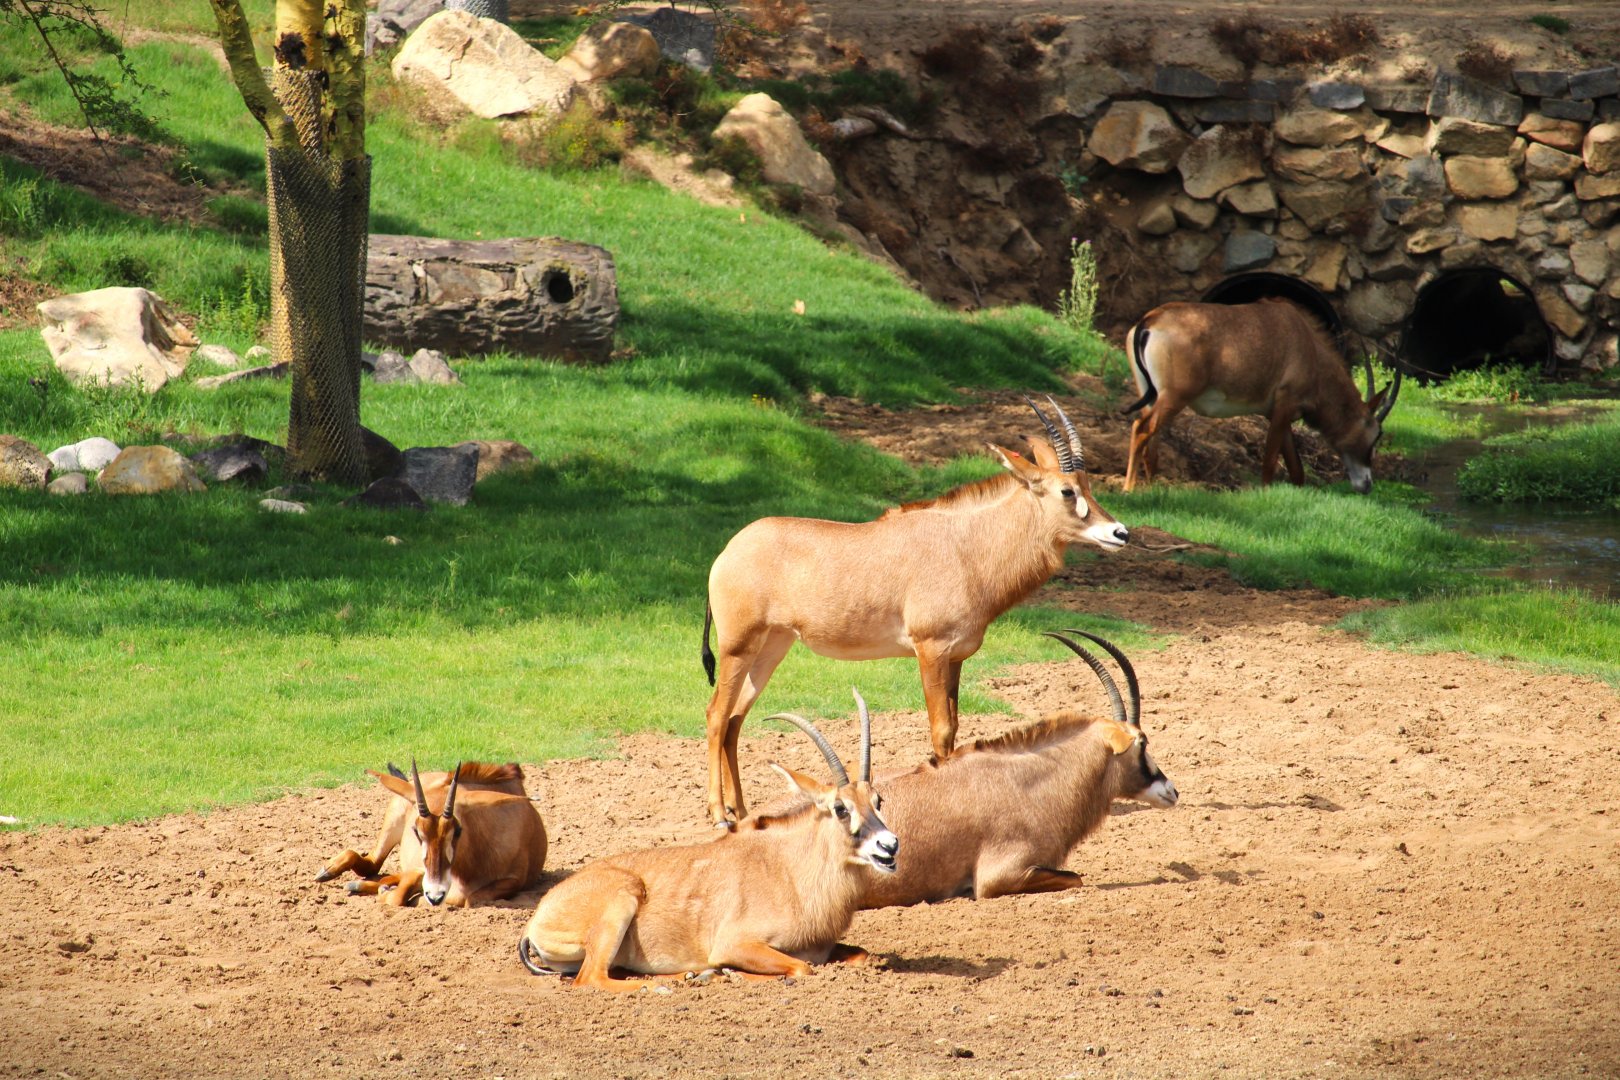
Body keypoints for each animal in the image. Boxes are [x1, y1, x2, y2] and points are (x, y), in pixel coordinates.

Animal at [316, 760, 548, 907]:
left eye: (457, 830)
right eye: (416, 831)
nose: (435, 894)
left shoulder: (514, 881)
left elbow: (465, 899)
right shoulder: (423, 870)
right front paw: (391, 893)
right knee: (373, 864)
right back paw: (331, 871)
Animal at [517, 702, 897, 991]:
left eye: (877, 800)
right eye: (840, 808)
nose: (890, 845)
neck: (790, 871)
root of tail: (538, 916)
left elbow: (860, 955)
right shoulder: (736, 943)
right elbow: (801, 967)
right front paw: (726, 971)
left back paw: (687, 974)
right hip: (621, 902)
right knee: (591, 978)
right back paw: (662, 985)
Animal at [699, 397, 1130, 825]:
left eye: (1088, 487)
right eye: (1067, 491)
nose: (1120, 533)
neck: (967, 546)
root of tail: (727, 551)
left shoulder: (956, 657)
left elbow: (954, 728)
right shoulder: (931, 649)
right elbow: (940, 730)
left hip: (772, 647)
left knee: (735, 719)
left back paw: (742, 810)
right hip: (738, 646)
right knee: (717, 714)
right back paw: (720, 813)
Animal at [1121, 298, 1400, 494]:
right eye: (1377, 434)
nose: (1366, 485)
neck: (1309, 346)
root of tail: (1151, 319)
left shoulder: (1280, 413)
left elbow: (1297, 470)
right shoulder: (1284, 406)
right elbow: (1269, 461)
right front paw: (1264, 495)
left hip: (1152, 395)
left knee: (1152, 435)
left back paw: (1152, 486)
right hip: (1174, 397)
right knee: (1142, 428)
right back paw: (1128, 488)